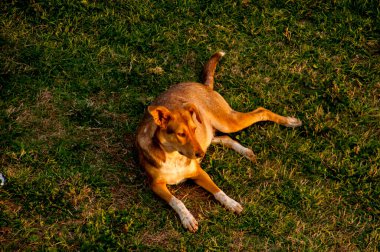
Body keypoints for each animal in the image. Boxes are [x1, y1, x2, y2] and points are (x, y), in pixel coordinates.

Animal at [137, 51, 302, 232]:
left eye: (194, 129)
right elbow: (177, 201)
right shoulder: (156, 185)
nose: (200, 154)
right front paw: (188, 218)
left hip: (228, 122)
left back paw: (289, 122)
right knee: (225, 138)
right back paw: (246, 152)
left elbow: (218, 191)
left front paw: (231, 203)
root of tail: (204, 86)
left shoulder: (199, 172)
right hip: (212, 133)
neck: (174, 156)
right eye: (181, 134)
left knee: (261, 111)